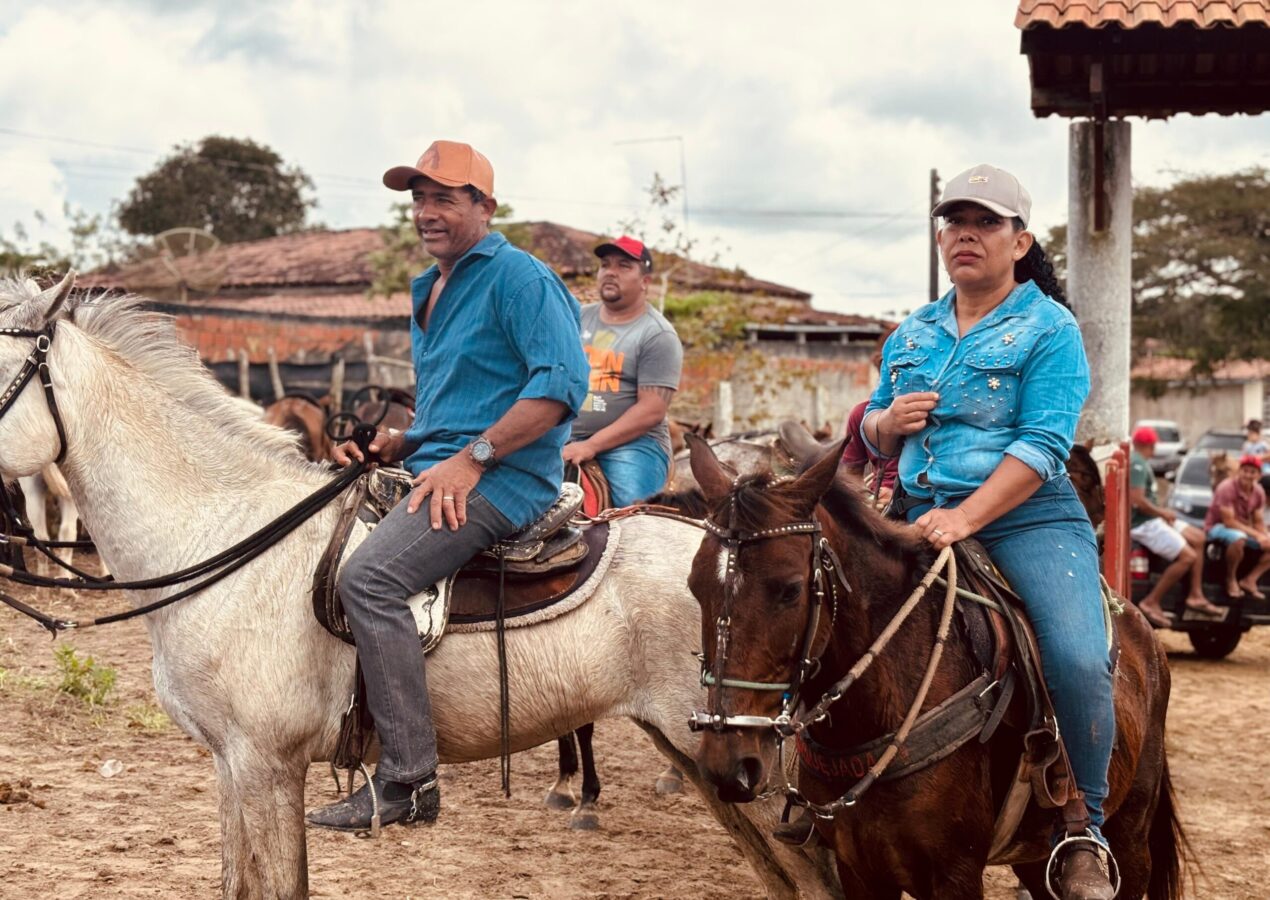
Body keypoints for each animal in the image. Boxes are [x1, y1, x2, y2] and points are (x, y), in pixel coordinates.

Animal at [685, 441, 1178, 898]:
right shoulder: (860, 869)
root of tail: (1145, 635)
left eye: (789, 589)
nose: (727, 764)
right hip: (1036, 861)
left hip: (1130, 841)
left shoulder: (953, 874)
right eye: (694, 586)